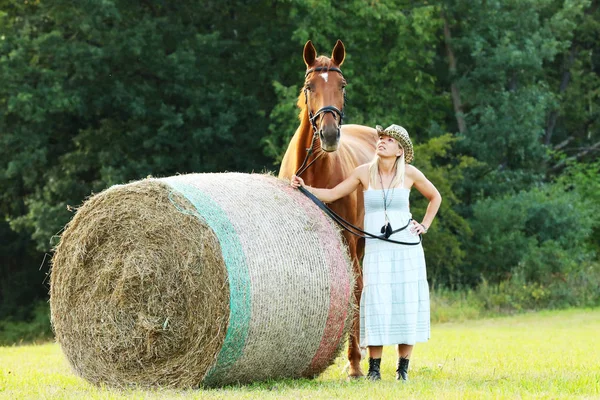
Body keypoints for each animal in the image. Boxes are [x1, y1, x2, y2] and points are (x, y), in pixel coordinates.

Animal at [278, 39, 378, 376]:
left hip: (361, 241)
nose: (330, 134)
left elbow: (354, 291)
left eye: (342, 85)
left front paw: (355, 362)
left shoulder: (347, 237)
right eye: (310, 86)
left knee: (362, 287)